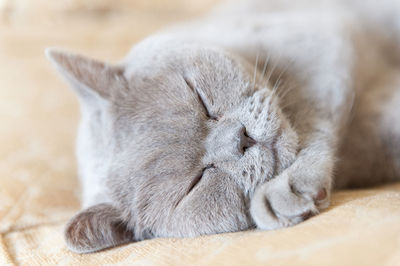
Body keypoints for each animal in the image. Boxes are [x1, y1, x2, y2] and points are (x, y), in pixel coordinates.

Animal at [46, 0, 400, 254]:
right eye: (196, 183)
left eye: (199, 97)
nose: (239, 140)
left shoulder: (317, 39)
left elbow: (311, 115)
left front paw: (289, 184)